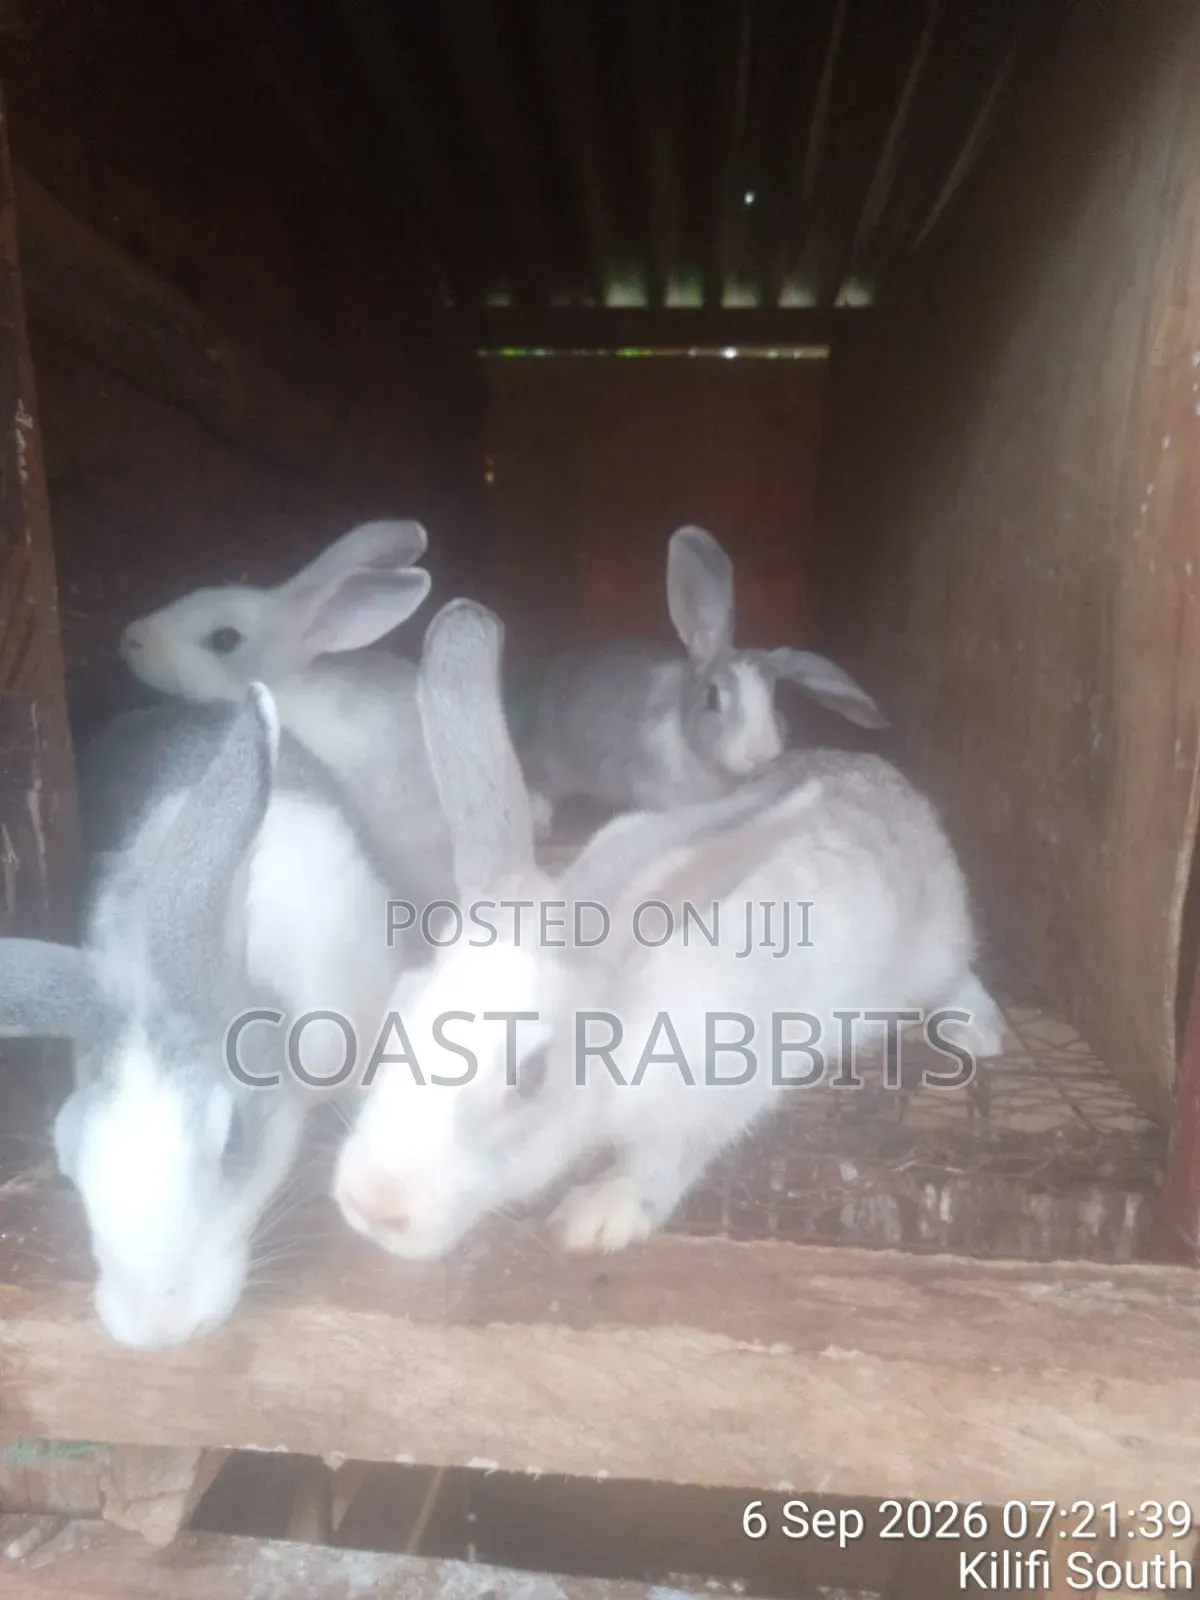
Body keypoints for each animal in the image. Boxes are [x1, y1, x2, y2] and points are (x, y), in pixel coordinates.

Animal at [331, 597, 1008, 1264]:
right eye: (395, 1015)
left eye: (531, 1077)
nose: (370, 1205)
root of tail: (890, 780)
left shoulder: (714, 1095)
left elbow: (663, 1160)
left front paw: (599, 1216)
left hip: (935, 949)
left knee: (962, 978)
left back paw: (978, 1034)